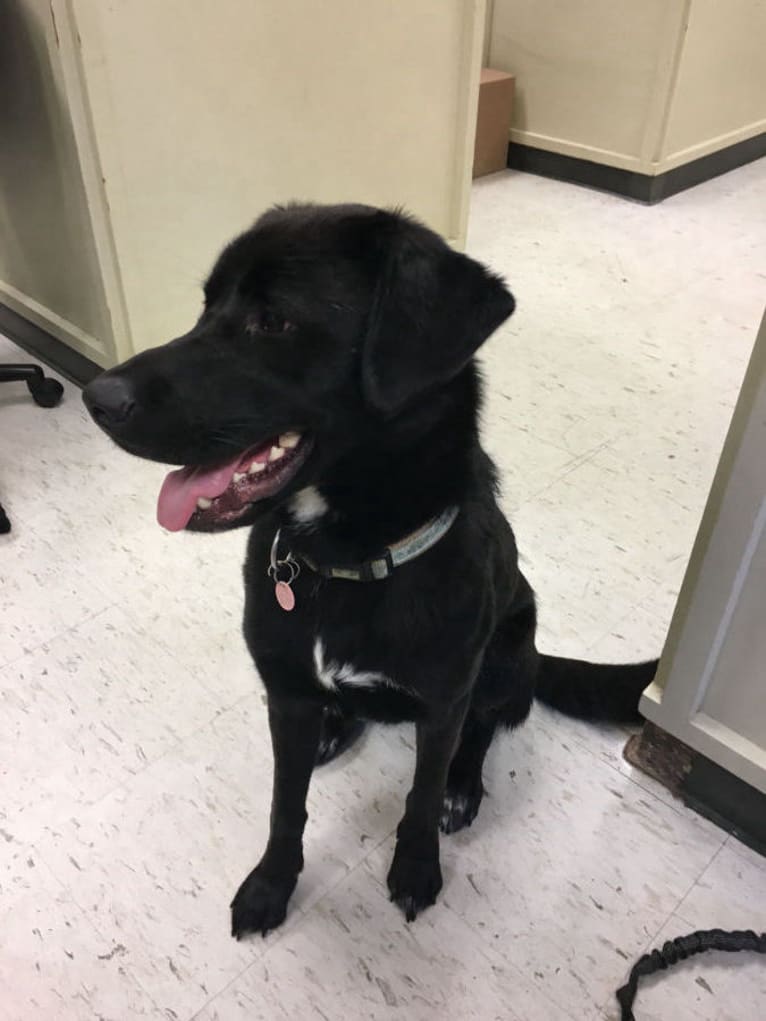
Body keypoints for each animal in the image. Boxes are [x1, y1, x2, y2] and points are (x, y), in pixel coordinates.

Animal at [85, 205, 661, 939]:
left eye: (273, 320)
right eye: (207, 307)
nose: (95, 397)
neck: (342, 562)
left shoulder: (443, 701)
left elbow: (419, 793)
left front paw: (417, 865)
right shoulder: (286, 694)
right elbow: (285, 804)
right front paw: (272, 884)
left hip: (506, 654)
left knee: (484, 729)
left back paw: (463, 788)